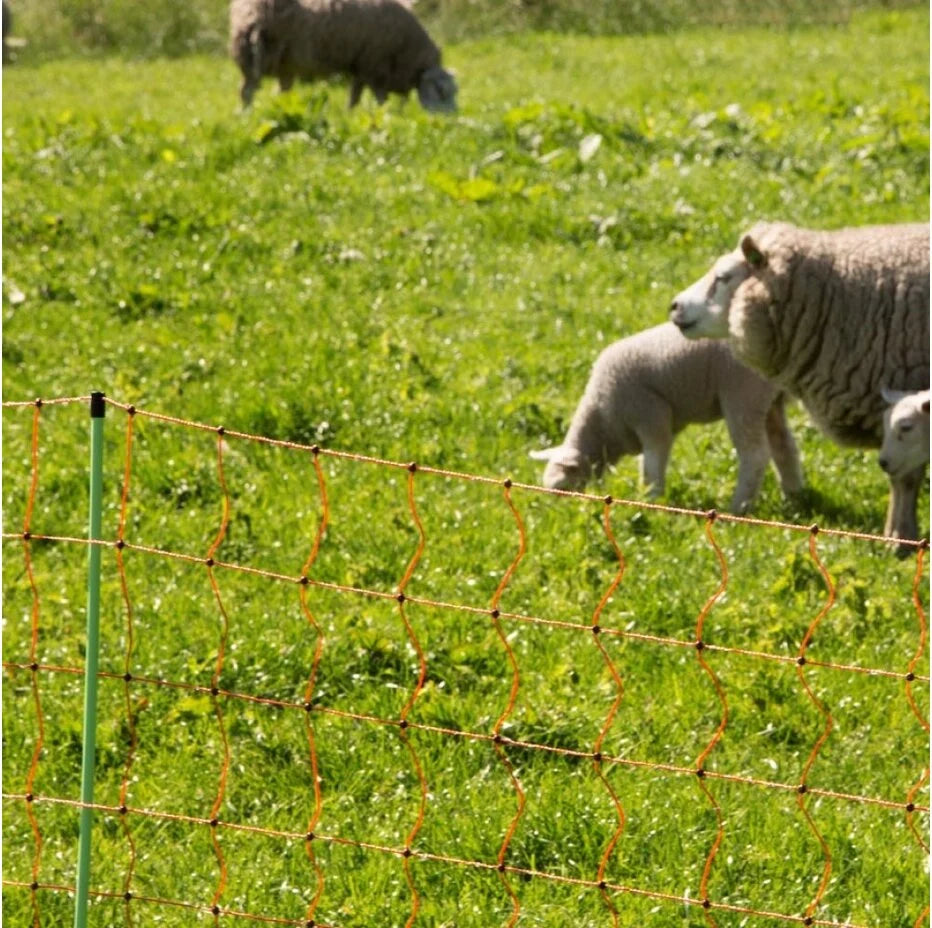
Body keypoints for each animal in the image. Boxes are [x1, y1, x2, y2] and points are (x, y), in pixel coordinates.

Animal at [229, 0, 457, 112]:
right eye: (441, 91)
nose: (451, 122)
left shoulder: (362, 66)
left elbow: (355, 95)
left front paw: (350, 115)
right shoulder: (375, 66)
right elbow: (380, 98)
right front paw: (386, 115)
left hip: (279, 61)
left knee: (278, 91)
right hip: (255, 55)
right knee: (247, 92)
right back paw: (245, 115)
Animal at [529, 322, 805, 514]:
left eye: (563, 488)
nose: (559, 513)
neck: (602, 424)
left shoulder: (651, 416)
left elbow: (652, 463)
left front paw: (652, 500)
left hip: (743, 394)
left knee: (755, 455)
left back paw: (738, 508)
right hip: (769, 401)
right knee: (784, 446)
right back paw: (794, 496)